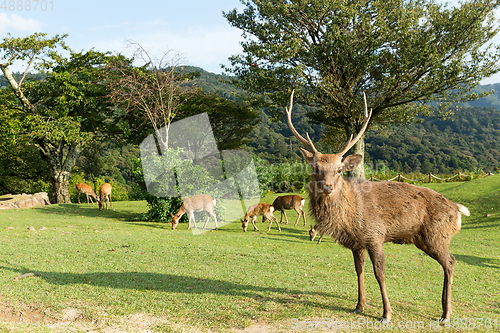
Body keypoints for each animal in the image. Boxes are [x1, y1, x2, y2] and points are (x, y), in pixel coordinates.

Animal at [286, 90, 468, 322]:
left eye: (339, 170)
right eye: (316, 168)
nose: (327, 187)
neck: (349, 217)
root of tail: (457, 210)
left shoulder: (375, 235)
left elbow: (379, 274)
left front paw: (386, 313)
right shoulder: (356, 242)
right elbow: (359, 270)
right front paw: (359, 305)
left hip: (437, 235)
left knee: (451, 261)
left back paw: (446, 314)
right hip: (423, 240)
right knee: (448, 262)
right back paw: (445, 310)